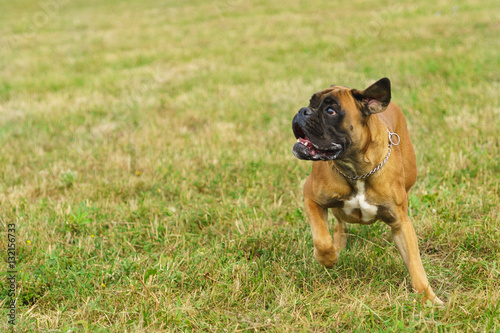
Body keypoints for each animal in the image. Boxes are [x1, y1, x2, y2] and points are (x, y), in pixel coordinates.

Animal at [292, 78, 444, 304]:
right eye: (311, 103)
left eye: (330, 110)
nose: (303, 111)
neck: (357, 170)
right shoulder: (312, 199)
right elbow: (321, 239)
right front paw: (328, 258)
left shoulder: (401, 224)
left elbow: (415, 263)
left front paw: (428, 298)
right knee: (339, 223)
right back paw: (338, 246)